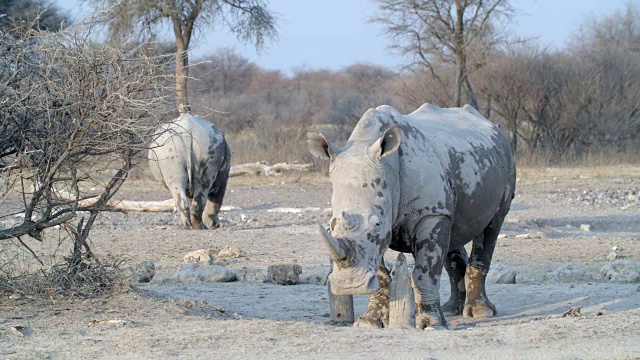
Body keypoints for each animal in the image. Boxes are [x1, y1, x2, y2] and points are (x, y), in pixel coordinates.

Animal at [308, 102, 516, 330]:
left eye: (377, 224)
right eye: (332, 224)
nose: (349, 286)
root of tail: (492, 126)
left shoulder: (430, 213)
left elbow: (425, 272)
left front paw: (431, 324)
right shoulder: (393, 225)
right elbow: (381, 274)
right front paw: (369, 322)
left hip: (505, 157)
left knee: (492, 225)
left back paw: (480, 312)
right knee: (454, 230)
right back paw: (452, 309)